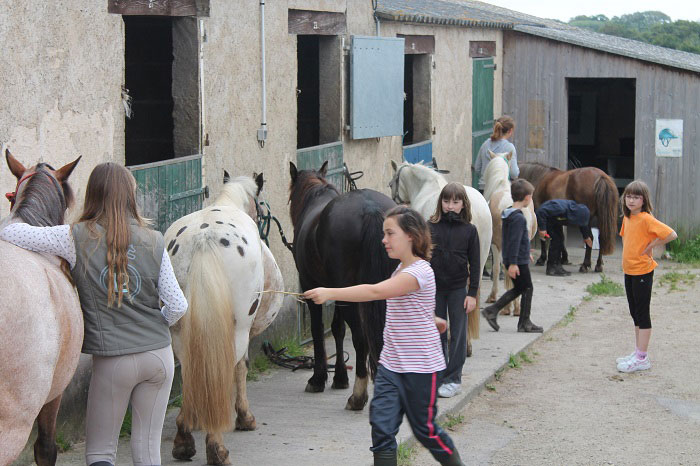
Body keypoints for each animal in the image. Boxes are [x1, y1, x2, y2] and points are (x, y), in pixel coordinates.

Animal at [165, 172, 284, 466]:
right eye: (261, 207)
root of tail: (204, 238)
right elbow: (241, 368)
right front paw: (244, 417)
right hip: (238, 329)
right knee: (227, 368)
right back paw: (216, 447)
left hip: (180, 331)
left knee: (191, 368)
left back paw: (185, 437)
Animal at [290, 162, 400, 410]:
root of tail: (369, 208)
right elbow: (338, 329)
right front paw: (340, 377)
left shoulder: (312, 288)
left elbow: (319, 330)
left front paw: (318, 379)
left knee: (360, 338)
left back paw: (358, 396)